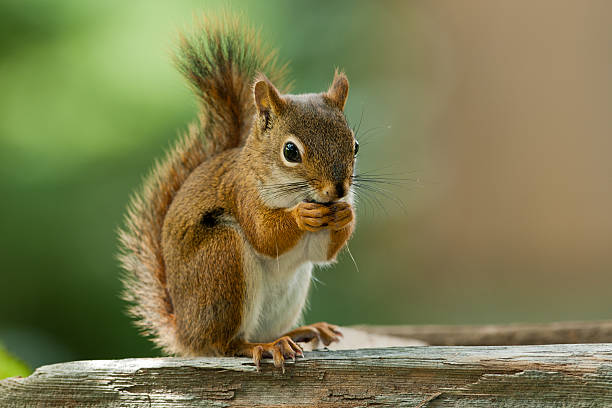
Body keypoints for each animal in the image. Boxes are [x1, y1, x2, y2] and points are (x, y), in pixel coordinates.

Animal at [118, 15, 358, 372]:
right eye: (290, 151)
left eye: (355, 146)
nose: (339, 189)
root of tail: (186, 333)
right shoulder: (242, 194)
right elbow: (265, 235)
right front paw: (301, 215)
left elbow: (321, 253)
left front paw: (346, 213)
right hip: (222, 260)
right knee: (226, 344)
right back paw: (263, 346)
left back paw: (300, 332)